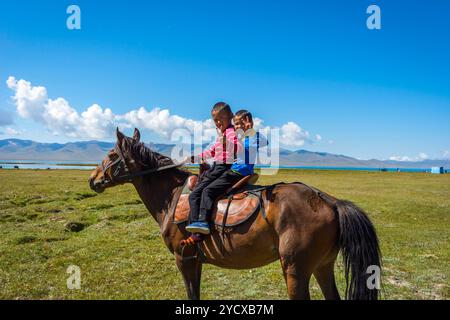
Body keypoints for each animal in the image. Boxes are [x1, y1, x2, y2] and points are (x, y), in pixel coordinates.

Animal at [89, 128, 382, 300]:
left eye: (112, 154)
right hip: (322, 265)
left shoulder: (183, 258)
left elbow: (191, 295)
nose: (93, 179)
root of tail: (329, 200)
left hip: (295, 269)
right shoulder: (195, 260)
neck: (170, 196)